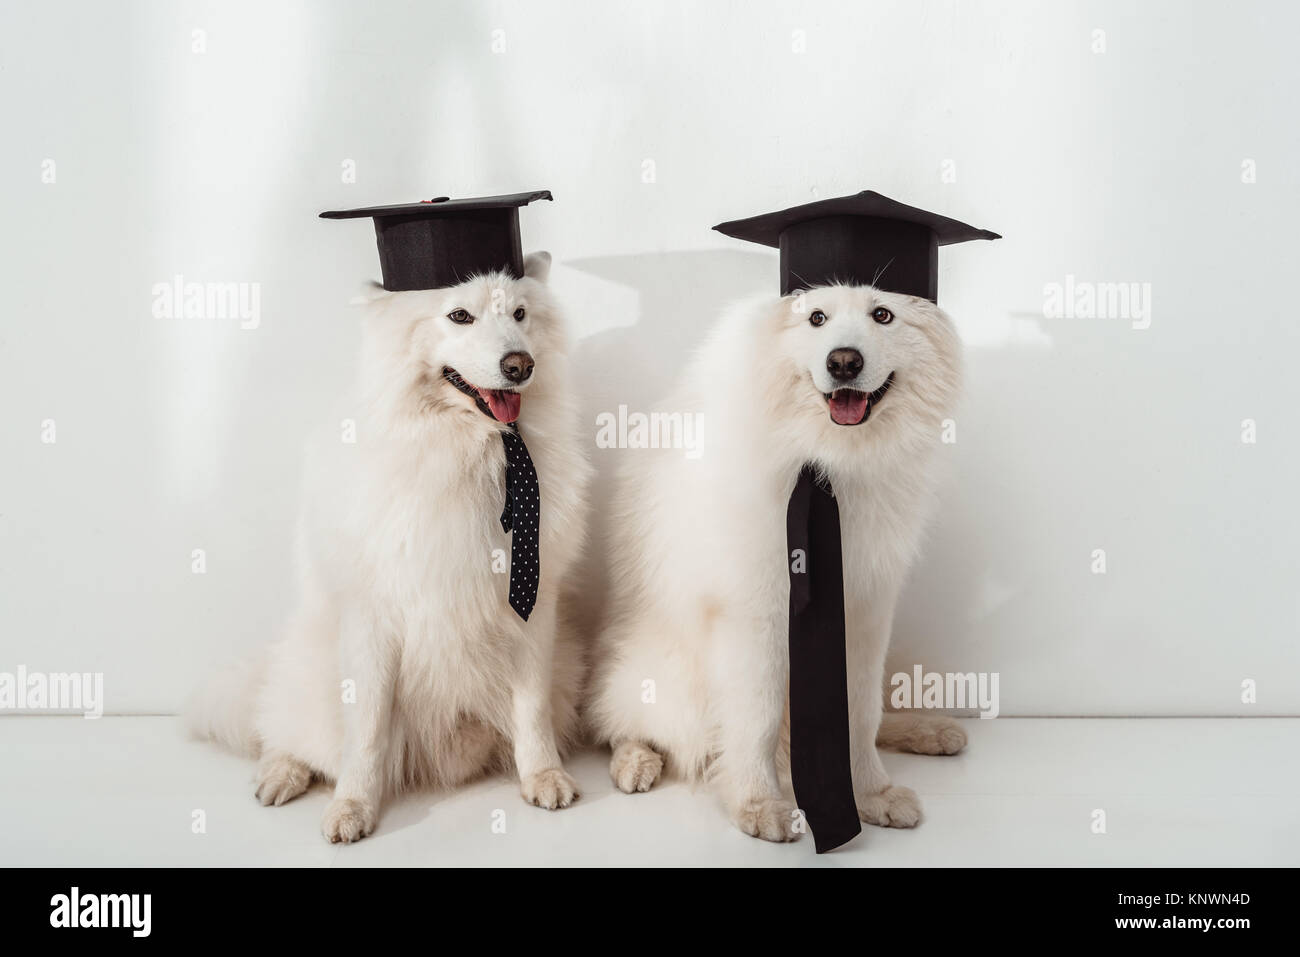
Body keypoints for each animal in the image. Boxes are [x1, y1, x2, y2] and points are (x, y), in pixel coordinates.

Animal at [189, 250, 590, 842]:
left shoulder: (534, 609)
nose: (521, 364)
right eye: (460, 316)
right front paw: (354, 806)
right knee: (284, 730)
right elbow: (368, 728)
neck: (469, 448)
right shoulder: (372, 618)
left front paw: (543, 776)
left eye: (520, 314)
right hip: (310, 675)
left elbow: (532, 707)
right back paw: (280, 773)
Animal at [590, 286, 967, 842]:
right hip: (662, 680)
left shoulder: (865, 611)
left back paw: (930, 729)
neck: (831, 461)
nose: (843, 362)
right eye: (817, 318)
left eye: (883, 315)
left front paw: (872, 792)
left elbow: (861, 714)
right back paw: (636, 762)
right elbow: (757, 720)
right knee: (624, 723)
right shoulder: (755, 615)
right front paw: (759, 804)